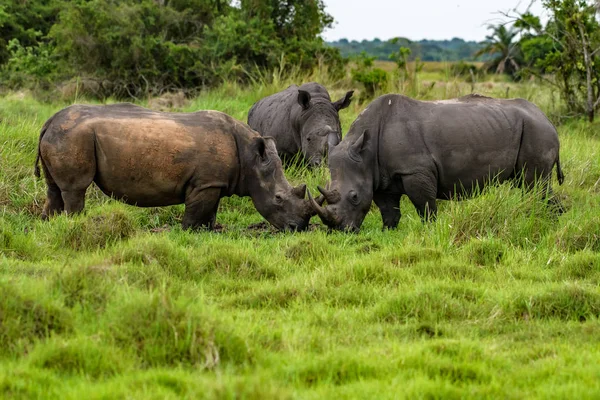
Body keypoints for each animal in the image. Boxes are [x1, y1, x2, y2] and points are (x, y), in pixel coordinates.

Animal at [33, 103, 316, 231]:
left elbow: (211, 211)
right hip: (72, 136)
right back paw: (75, 224)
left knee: (53, 188)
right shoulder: (205, 184)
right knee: (75, 189)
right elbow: (195, 211)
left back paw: (49, 227)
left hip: (62, 135)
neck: (250, 157)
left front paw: (209, 231)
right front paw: (187, 233)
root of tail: (48, 122)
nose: (298, 228)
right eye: (278, 198)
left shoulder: (213, 182)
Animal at [312, 94, 564, 231]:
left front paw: (430, 231)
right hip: (528, 129)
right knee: (530, 185)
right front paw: (386, 232)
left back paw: (545, 221)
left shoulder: (414, 171)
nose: (340, 230)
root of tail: (547, 120)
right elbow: (388, 211)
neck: (365, 150)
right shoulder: (378, 177)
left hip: (536, 131)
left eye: (354, 196)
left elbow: (426, 207)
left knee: (535, 186)